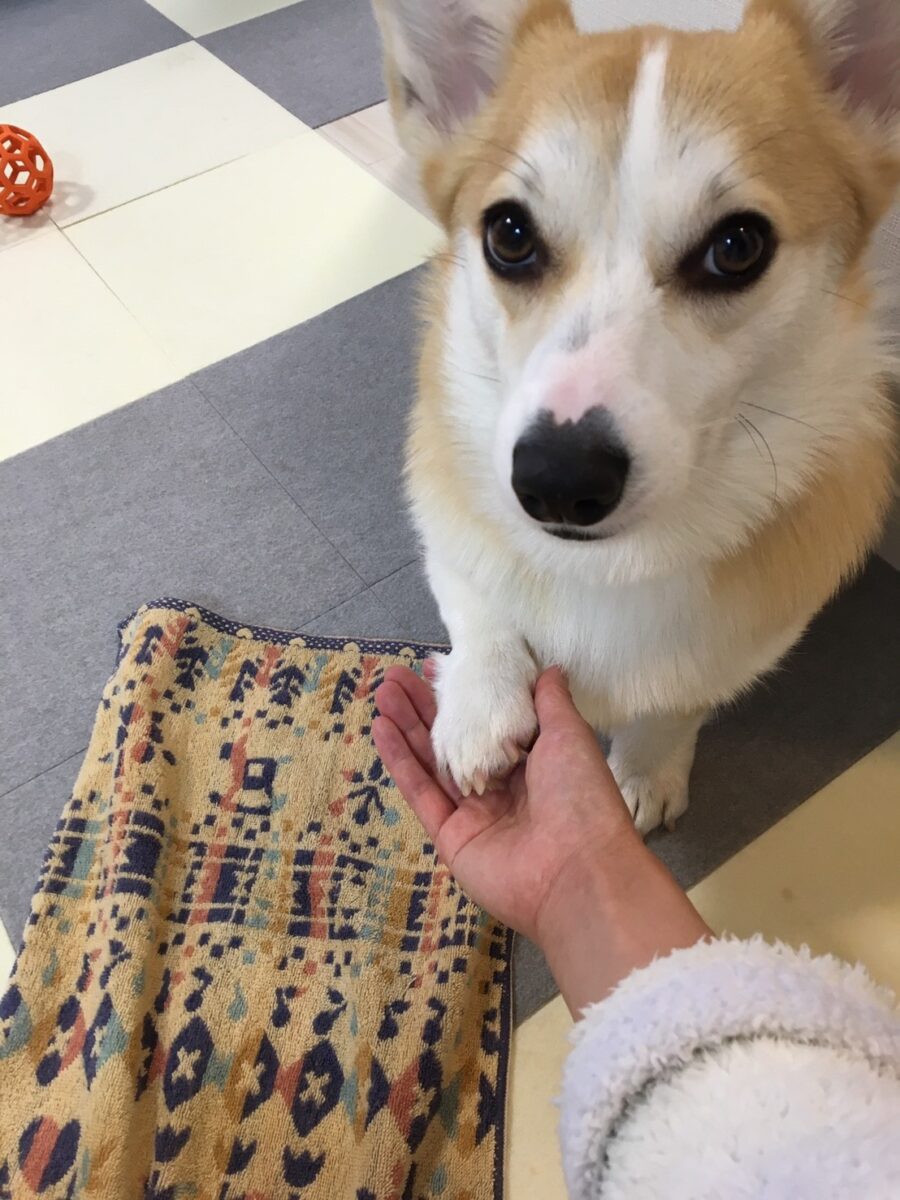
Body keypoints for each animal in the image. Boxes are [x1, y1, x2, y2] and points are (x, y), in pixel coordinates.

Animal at [372, 0, 899, 834]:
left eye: (737, 246)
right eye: (509, 234)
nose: (557, 481)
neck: (610, 566)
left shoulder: (733, 651)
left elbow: (675, 706)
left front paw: (647, 775)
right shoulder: (452, 525)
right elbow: (477, 599)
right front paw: (478, 710)